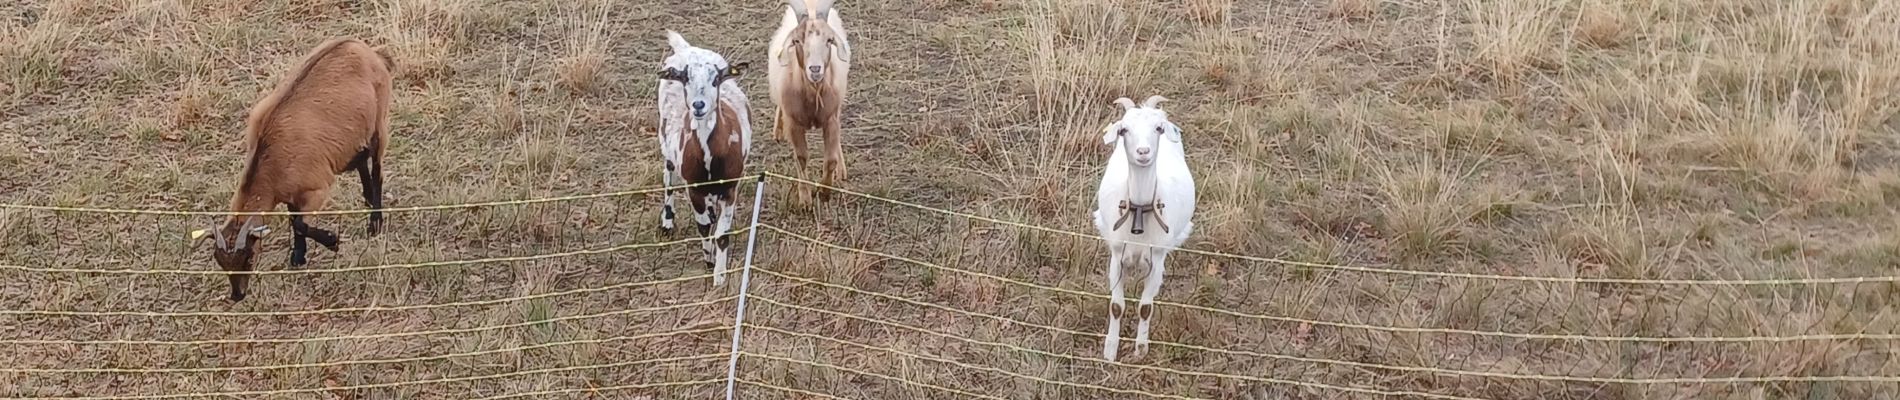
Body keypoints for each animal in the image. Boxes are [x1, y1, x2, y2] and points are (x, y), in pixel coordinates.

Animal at [649, 30, 744, 288]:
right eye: (685, 79)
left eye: (716, 79)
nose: (698, 105)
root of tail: (687, 49)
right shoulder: (693, 187)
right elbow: (703, 227)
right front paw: (709, 261)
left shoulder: (730, 188)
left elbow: (722, 234)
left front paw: (720, 276)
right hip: (665, 142)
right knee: (668, 178)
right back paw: (667, 221)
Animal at [771, 0, 855, 197]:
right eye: (796, 41)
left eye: (829, 40)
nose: (815, 69)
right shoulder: (794, 123)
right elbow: (801, 158)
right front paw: (805, 198)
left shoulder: (831, 119)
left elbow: (830, 159)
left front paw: (824, 192)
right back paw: (777, 131)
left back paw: (842, 171)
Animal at [1094, 95, 1193, 360]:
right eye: (1124, 130)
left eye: (1158, 129)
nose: (1143, 152)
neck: (1139, 208)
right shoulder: (1117, 256)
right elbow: (1116, 306)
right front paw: (1110, 351)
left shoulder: (1156, 260)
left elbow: (1146, 307)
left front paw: (1140, 349)